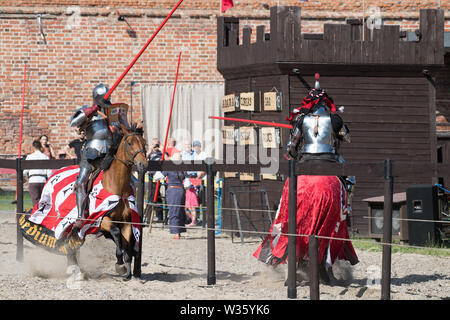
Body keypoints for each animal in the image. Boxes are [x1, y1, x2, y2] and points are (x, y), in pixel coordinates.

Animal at [66, 122, 148, 280]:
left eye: (144, 143)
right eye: (130, 143)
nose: (143, 164)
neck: (117, 189)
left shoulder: (126, 223)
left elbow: (126, 244)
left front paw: (126, 271)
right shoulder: (101, 221)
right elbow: (116, 233)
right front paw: (120, 265)